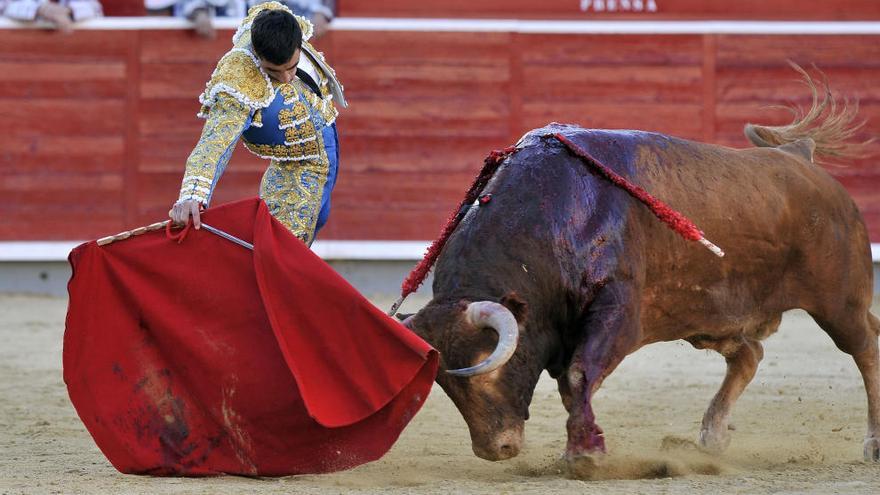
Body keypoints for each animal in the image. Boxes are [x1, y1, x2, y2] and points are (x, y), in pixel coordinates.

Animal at [404, 71, 880, 470]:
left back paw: (873, 444)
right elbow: (571, 385)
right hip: (705, 316)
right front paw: (583, 448)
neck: (553, 216)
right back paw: (712, 436)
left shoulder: (618, 311)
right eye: (446, 385)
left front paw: (585, 456)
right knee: (749, 353)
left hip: (840, 304)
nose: (496, 448)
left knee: (865, 348)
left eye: (489, 368)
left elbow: (579, 375)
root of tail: (799, 158)